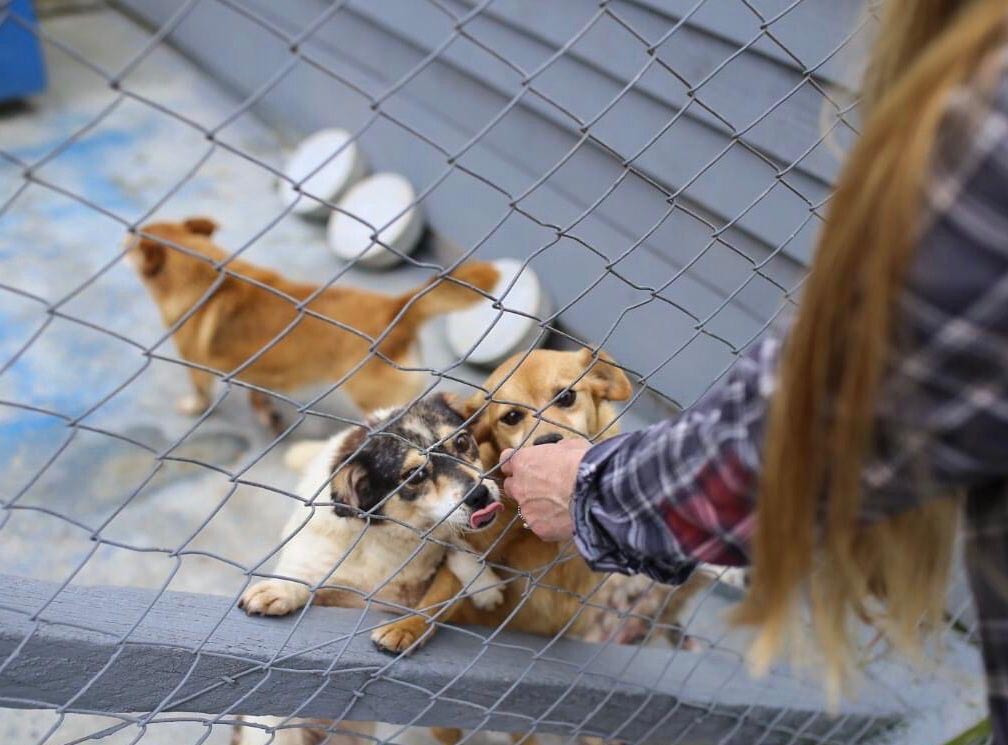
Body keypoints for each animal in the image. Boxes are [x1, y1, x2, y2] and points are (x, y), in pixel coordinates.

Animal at [126, 218, 499, 431]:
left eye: (131, 243)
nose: (125, 232)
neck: (203, 274)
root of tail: (395, 309)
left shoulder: (195, 365)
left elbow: (201, 392)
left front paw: (195, 407)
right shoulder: (252, 367)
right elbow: (256, 392)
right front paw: (266, 414)